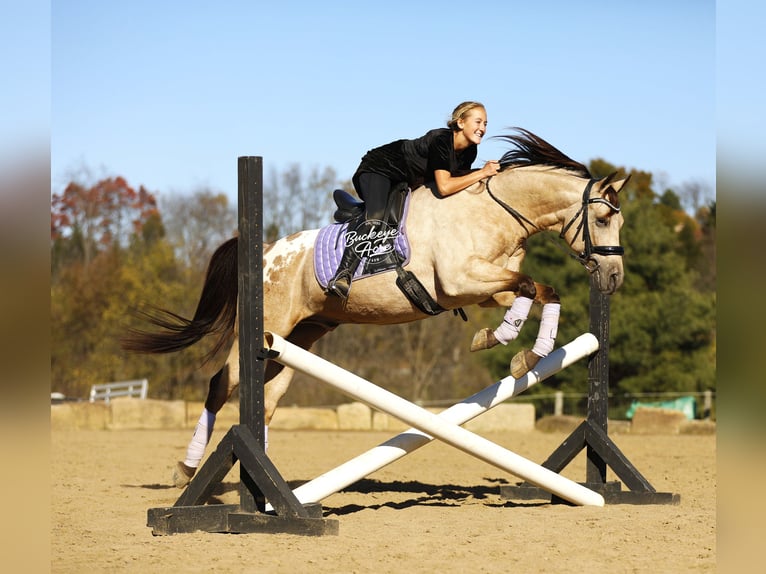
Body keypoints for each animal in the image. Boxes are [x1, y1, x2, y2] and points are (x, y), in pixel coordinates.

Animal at [121, 128, 628, 488]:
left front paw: (525, 352)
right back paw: (186, 471)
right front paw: (500, 340)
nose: (613, 279)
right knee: (220, 385)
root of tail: (264, 251)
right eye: (603, 218)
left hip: (295, 338)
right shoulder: (460, 282)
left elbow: (541, 291)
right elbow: (525, 288)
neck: (493, 213)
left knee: (267, 399)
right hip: (268, 327)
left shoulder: (485, 289)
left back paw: (262, 479)